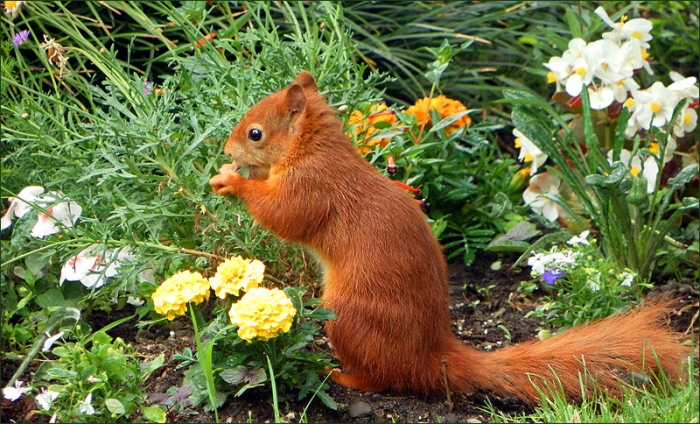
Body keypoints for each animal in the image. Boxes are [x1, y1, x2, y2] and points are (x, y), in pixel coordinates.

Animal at [209, 71, 689, 403]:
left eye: (255, 133)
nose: (226, 151)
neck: (313, 150)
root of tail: (430, 358)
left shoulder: (313, 188)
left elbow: (283, 216)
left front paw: (233, 181)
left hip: (348, 318)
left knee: (381, 380)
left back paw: (340, 375)